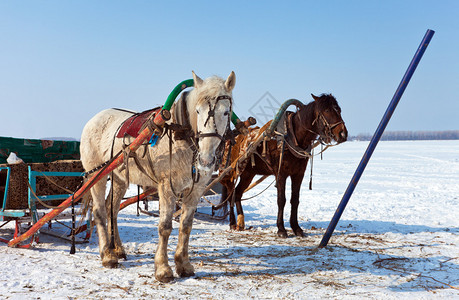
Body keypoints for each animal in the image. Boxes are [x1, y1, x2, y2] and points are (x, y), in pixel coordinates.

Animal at [79, 71, 235, 282]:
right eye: (197, 111)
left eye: (226, 112)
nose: (205, 158)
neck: (181, 134)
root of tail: (94, 119)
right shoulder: (167, 187)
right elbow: (165, 226)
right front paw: (163, 268)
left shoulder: (196, 188)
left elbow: (186, 225)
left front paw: (183, 264)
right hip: (97, 175)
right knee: (99, 211)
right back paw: (107, 255)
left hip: (119, 178)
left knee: (112, 208)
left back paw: (117, 248)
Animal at [221, 92, 346, 238]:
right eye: (326, 110)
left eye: (339, 110)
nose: (343, 134)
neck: (292, 137)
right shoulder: (281, 174)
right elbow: (281, 200)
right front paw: (281, 229)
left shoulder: (298, 174)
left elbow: (295, 200)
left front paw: (296, 228)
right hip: (232, 172)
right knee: (231, 194)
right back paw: (232, 222)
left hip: (248, 174)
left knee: (238, 193)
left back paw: (240, 222)